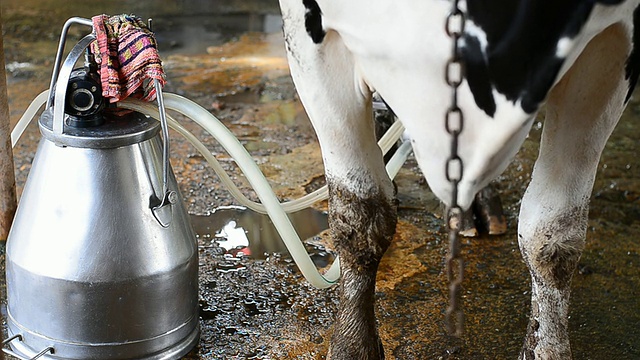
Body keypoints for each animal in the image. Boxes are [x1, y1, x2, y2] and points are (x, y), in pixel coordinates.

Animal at [278, 0, 640, 358]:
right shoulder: (311, 38)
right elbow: (360, 215)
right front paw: (351, 346)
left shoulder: (611, 47)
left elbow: (551, 234)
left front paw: (547, 349)